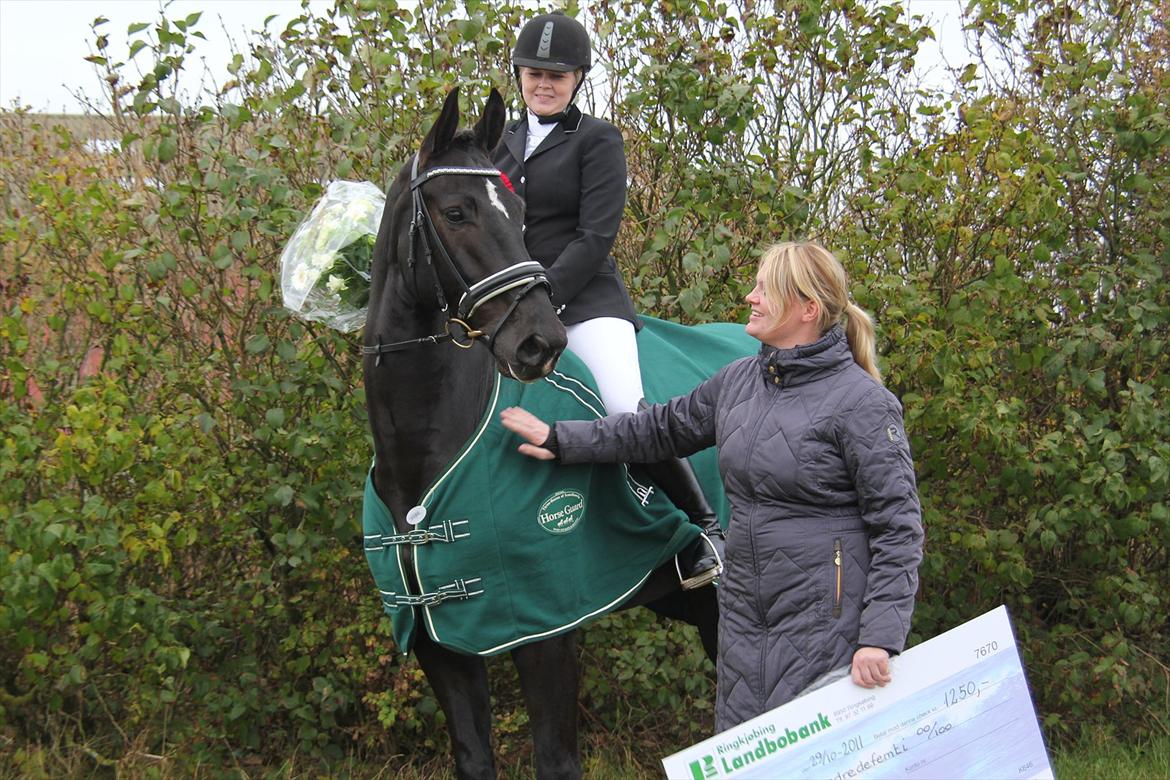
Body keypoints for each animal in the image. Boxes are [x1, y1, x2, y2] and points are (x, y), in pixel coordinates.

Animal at [360, 87, 716, 780]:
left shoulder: (547, 629)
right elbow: (474, 759)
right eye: (456, 211)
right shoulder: (440, 645)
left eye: (521, 211)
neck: (426, 447)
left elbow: (555, 760)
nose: (539, 342)